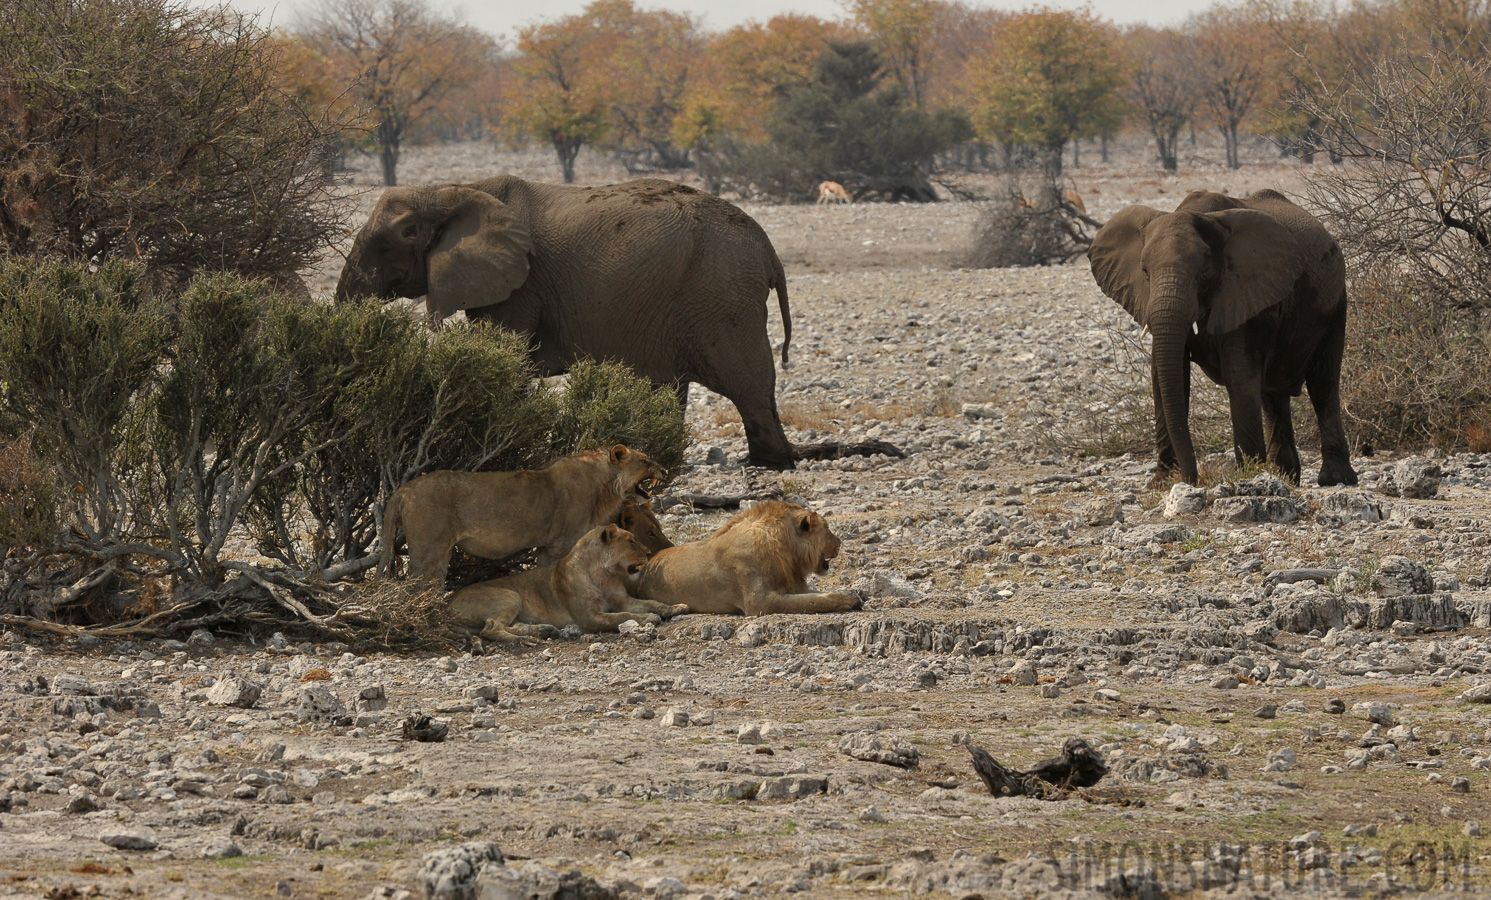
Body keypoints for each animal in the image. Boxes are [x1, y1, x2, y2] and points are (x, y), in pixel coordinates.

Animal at [335, 177, 805, 470]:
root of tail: (769, 250)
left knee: (747, 382)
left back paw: (774, 461)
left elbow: (503, 354)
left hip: (722, 296)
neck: (451, 191)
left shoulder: (521, 283)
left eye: (392, 242)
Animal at [381, 447, 662, 587]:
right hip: (429, 550)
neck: (604, 485)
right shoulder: (559, 544)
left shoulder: (546, 546)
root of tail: (403, 491)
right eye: (646, 461)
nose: (663, 469)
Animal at [444, 524, 688, 643]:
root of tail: (447, 605)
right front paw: (648, 619)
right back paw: (525, 640)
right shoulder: (589, 618)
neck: (603, 574)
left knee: (504, 625)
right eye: (632, 541)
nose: (648, 553)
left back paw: (543, 630)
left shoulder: (623, 600)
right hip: (509, 595)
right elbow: (621, 617)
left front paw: (676, 607)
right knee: (491, 628)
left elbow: (652, 603)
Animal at [632, 500, 864, 619]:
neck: (786, 552)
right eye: (828, 529)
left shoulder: (792, 586)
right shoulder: (760, 602)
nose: (840, 542)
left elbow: (814, 594)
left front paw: (850, 593)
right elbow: (813, 601)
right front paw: (848, 600)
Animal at [1091, 186, 1359, 488]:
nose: (1192, 480)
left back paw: (1334, 478)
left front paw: (1249, 477)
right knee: (1273, 394)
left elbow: (1239, 373)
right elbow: (1166, 375)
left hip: (1335, 303)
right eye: (1145, 272)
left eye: (1205, 272)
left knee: (1323, 381)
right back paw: (1285, 477)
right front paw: (1163, 483)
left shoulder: (1246, 293)